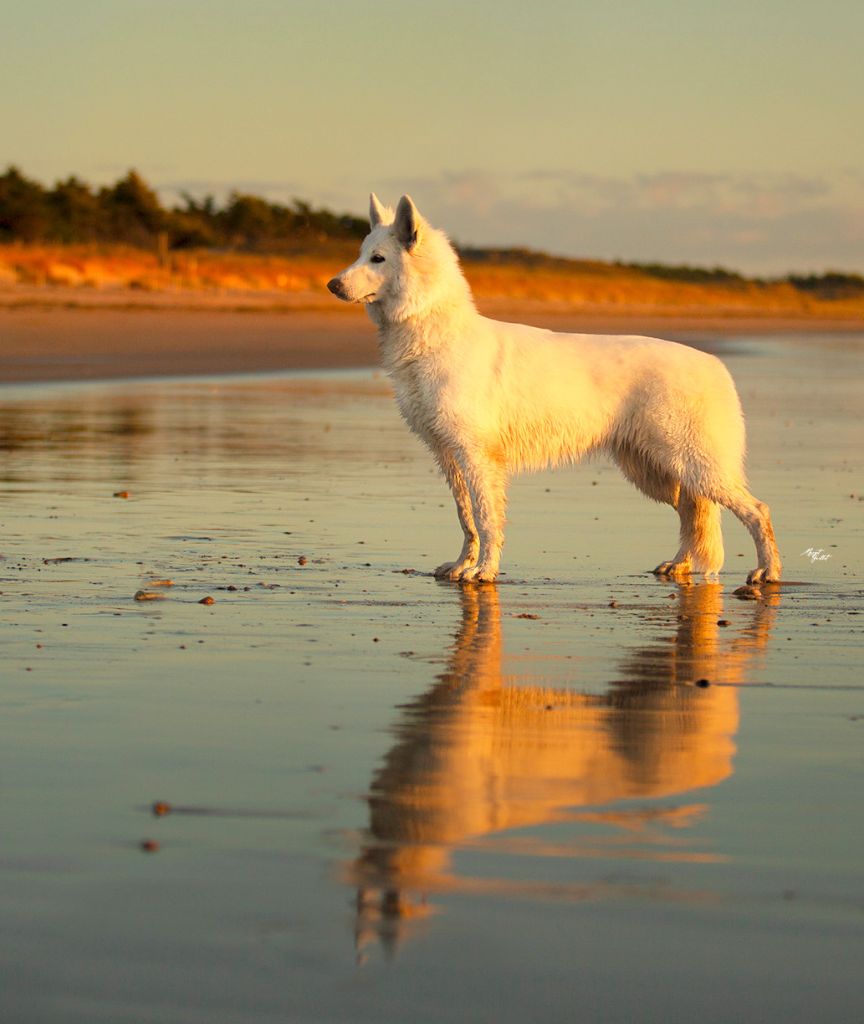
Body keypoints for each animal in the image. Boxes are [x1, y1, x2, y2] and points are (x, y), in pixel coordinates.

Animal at [325, 195, 782, 585]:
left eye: (378, 259)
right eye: (360, 254)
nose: (331, 286)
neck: (436, 333)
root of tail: (716, 365)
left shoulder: (477, 456)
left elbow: (487, 519)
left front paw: (484, 572)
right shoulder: (449, 455)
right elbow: (466, 517)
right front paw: (461, 566)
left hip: (693, 467)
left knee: (756, 510)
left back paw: (767, 573)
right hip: (658, 470)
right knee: (692, 514)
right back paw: (680, 566)